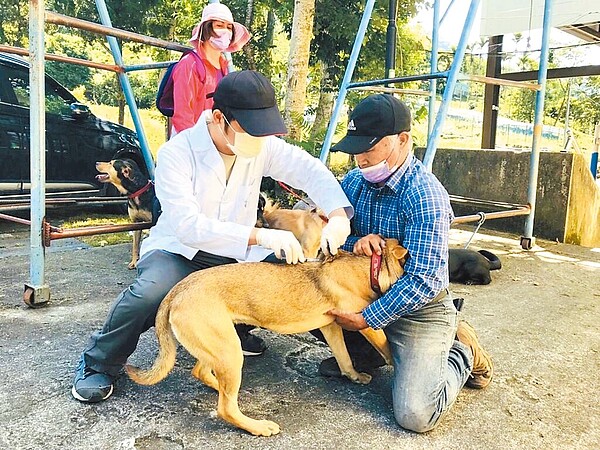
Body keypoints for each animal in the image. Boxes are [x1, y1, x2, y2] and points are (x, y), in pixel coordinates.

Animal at [125, 239, 408, 436]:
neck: (369, 267)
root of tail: (176, 291)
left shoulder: (332, 327)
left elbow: (345, 358)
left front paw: (355, 376)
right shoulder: (366, 324)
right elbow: (386, 348)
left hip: (221, 344)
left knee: (203, 374)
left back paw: (221, 388)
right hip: (229, 349)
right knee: (225, 407)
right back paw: (257, 426)